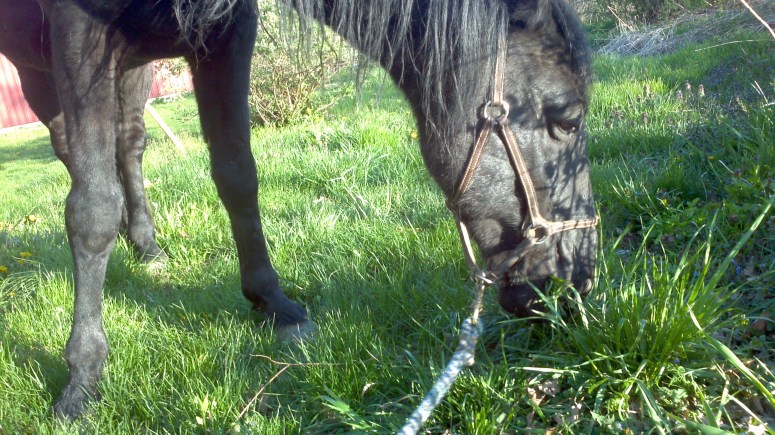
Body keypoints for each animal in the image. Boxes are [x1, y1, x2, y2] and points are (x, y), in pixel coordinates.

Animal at [34, 0, 598, 419]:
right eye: (567, 120)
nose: (579, 281)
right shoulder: (77, 29)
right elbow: (91, 207)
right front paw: (82, 374)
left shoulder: (226, 32)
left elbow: (237, 174)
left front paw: (272, 302)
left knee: (128, 142)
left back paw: (146, 244)